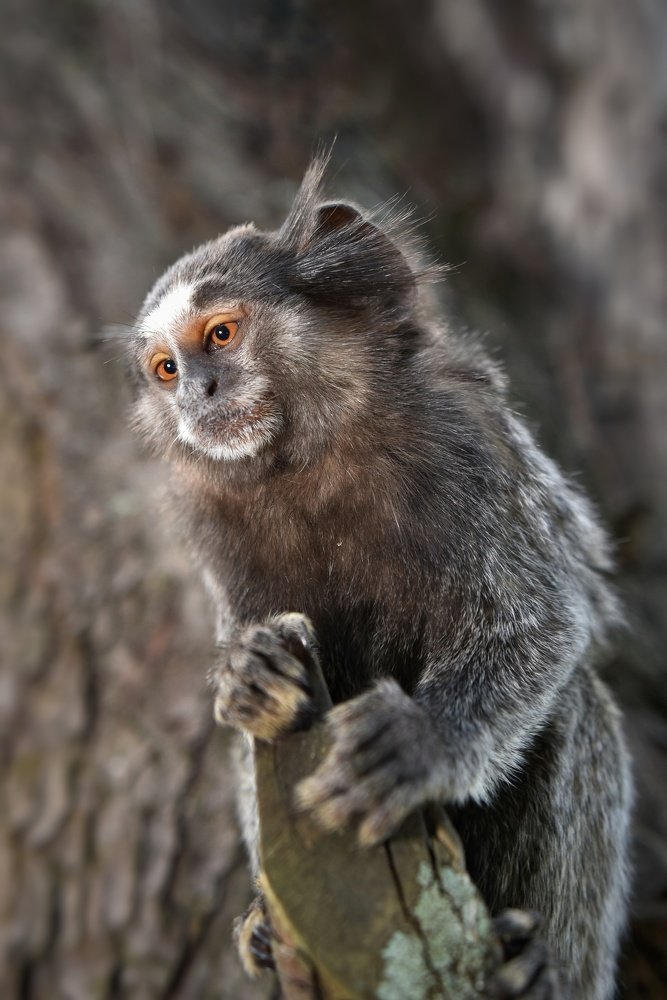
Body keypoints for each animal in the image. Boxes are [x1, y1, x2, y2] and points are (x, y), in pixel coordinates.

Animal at [127, 158, 632, 999]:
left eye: (220, 335)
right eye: (166, 369)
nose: (196, 395)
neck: (311, 461)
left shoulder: (464, 448)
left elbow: (542, 626)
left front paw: (418, 741)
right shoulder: (221, 539)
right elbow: (252, 715)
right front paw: (249, 673)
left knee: (577, 708)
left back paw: (538, 963)